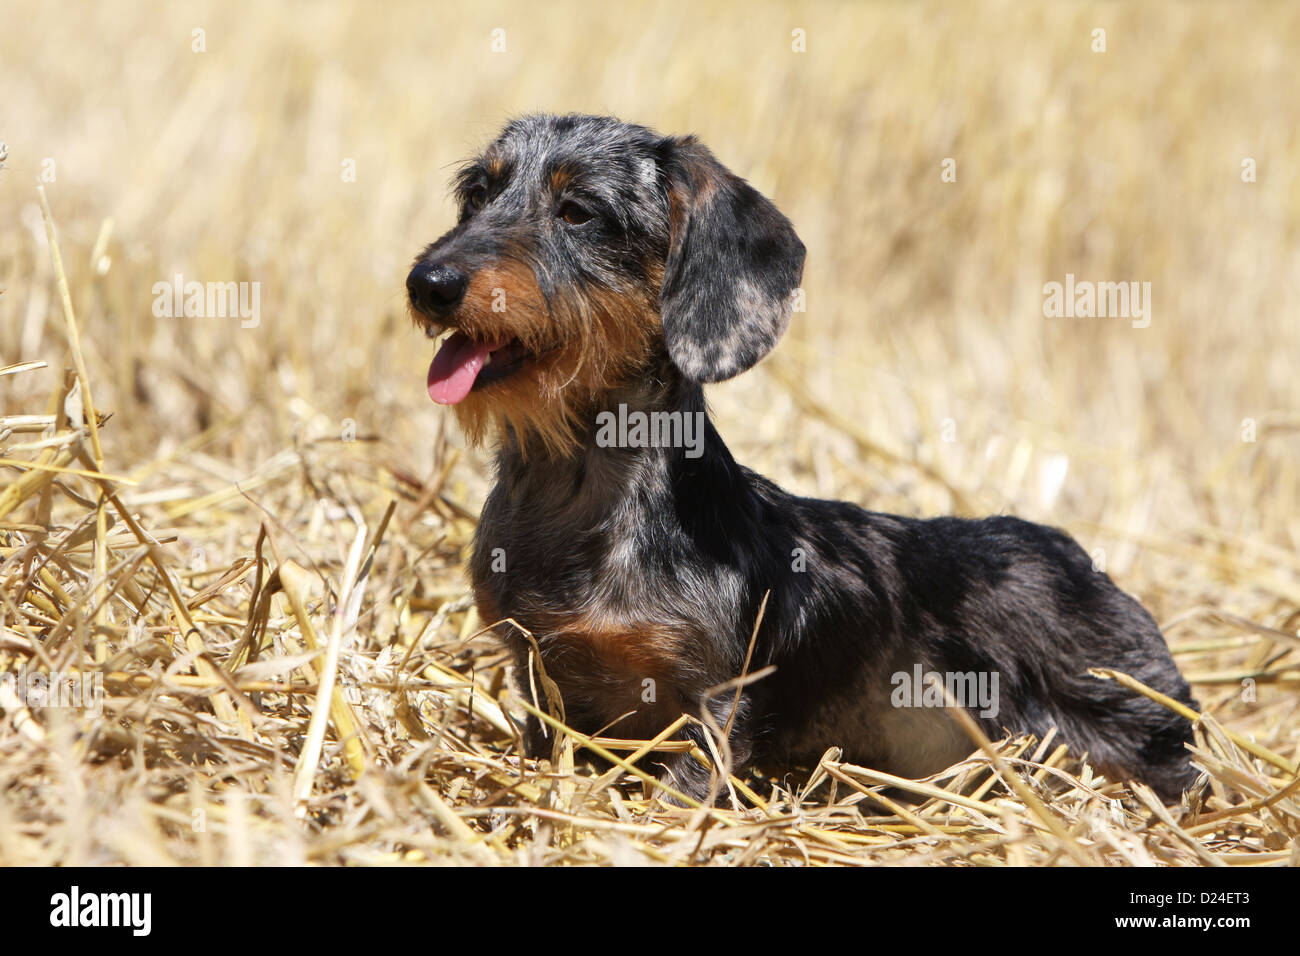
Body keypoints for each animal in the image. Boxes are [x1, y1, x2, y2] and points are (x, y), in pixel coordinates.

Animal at [403, 113, 1196, 806]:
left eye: (578, 211)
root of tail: (1078, 557)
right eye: (477, 194)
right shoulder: (539, 672)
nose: (428, 282)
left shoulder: (714, 701)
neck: (579, 495)